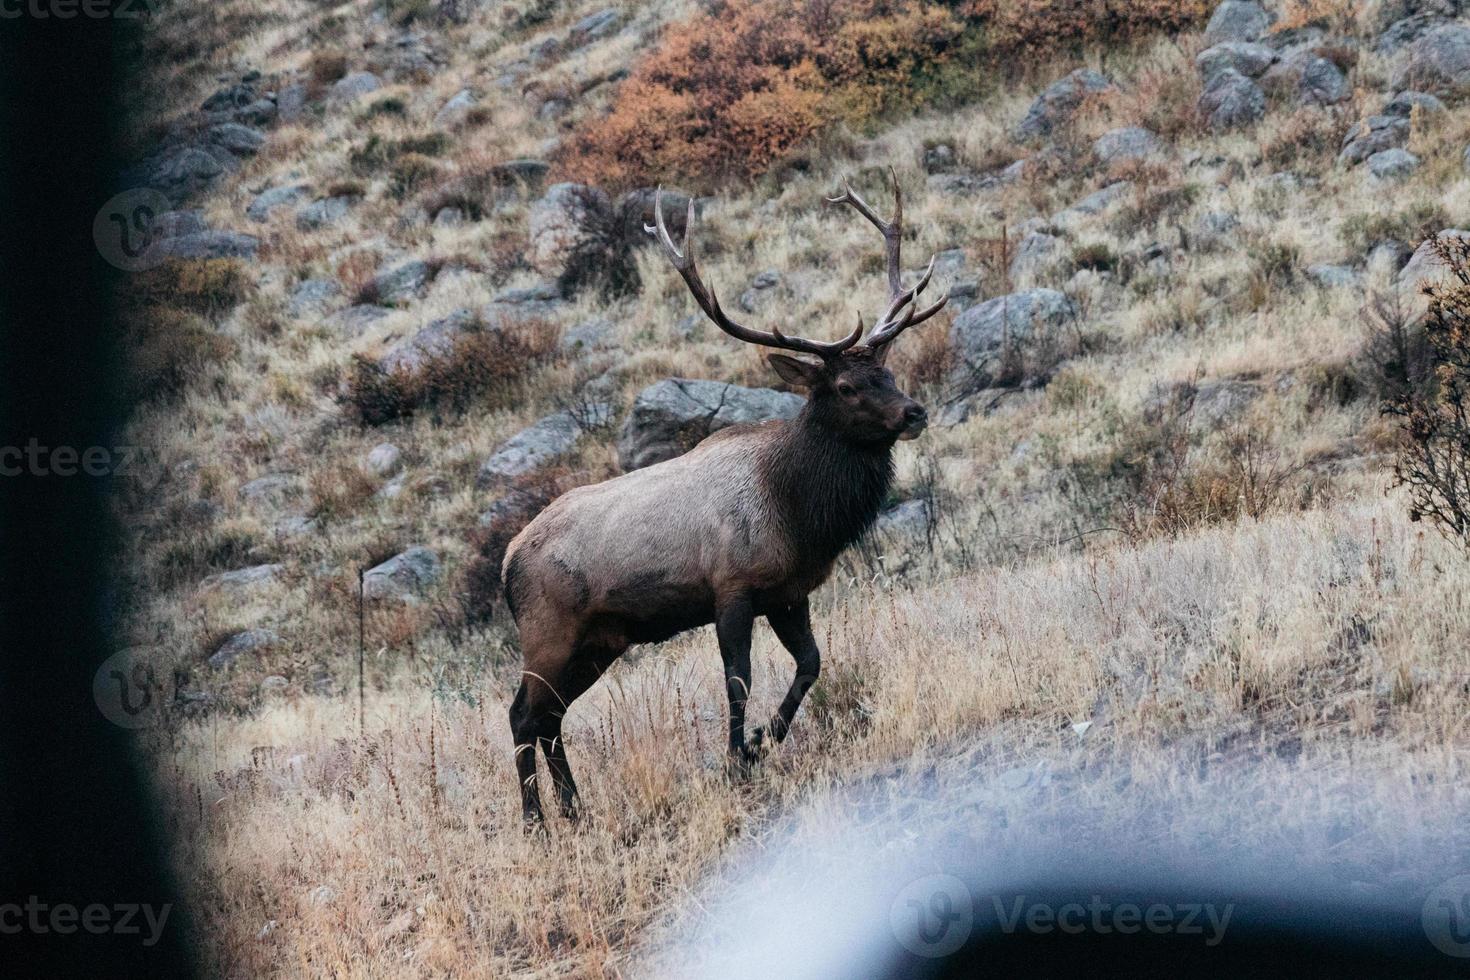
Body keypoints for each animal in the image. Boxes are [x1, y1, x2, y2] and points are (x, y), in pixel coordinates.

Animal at [499, 172, 946, 822]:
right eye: (845, 385)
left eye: (887, 374)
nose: (914, 412)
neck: (796, 509)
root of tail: (506, 565)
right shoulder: (731, 585)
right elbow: (738, 678)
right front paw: (738, 758)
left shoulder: (789, 593)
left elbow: (811, 663)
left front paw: (763, 740)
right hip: (548, 632)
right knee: (522, 715)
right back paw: (537, 821)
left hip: (599, 640)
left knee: (550, 716)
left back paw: (575, 810)